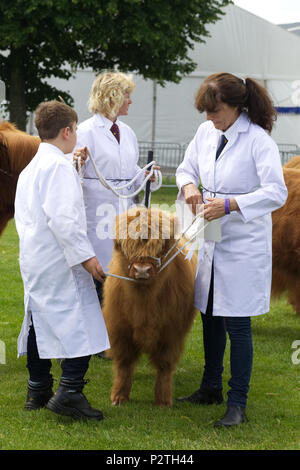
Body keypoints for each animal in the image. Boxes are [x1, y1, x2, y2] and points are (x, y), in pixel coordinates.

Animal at [102, 207, 198, 408]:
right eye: (126, 245)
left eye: (161, 246)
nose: (142, 270)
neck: (144, 300)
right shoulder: (121, 329)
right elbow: (124, 363)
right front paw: (119, 396)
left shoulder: (171, 333)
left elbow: (164, 365)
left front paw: (163, 400)